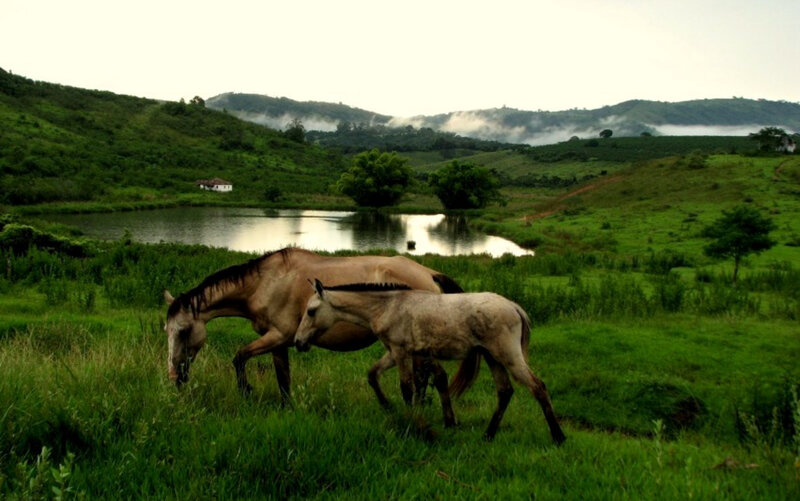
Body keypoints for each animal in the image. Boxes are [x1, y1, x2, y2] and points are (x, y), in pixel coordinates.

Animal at [163, 247, 464, 425]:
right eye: (167, 331)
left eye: (184, 330)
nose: (175, 377)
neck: (267, 282)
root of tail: (429, 274)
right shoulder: (279, 343)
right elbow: (283, 379)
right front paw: (287, 408)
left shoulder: (277, 336)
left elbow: (239, 357)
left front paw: (246, 390)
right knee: (424, 378)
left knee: (431, 377)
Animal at [295, 279, 566, 444]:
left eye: (310, 311)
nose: (298, 342)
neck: (389, 305)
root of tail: (514, 307)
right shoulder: (399, 352)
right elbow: (374, 374)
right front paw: (388, 407)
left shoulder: (400, 352)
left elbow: (407, 388)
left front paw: (412, 424)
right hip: (493, 358)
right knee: (505, 391)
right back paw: (488, 435)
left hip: (508, 356)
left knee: (537, 387)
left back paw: (558, 436)